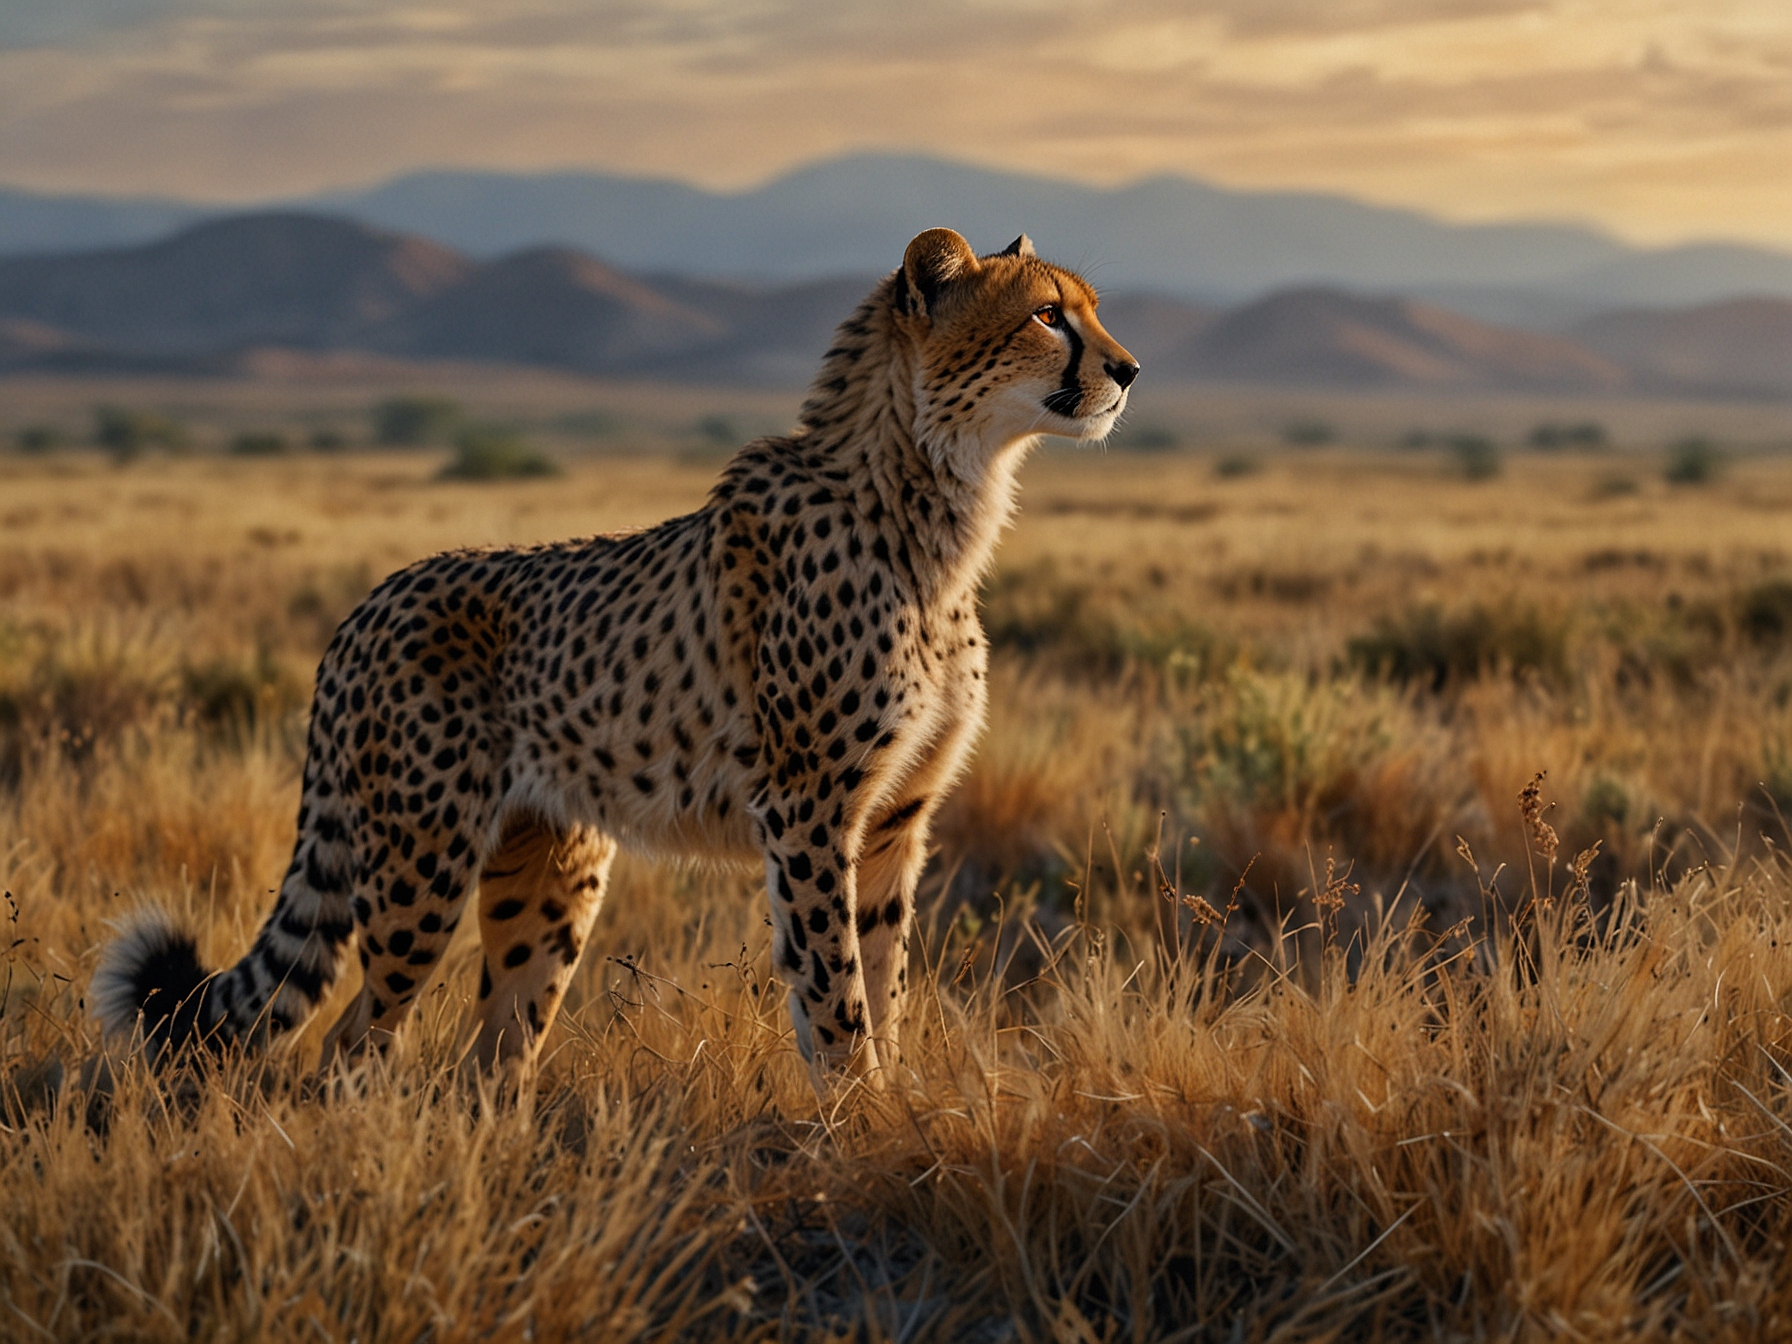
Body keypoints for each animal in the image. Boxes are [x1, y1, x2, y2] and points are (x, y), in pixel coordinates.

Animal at [93, 227, 1140, 1081]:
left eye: (1090, 307)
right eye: (1048, 315)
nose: (1129, 369)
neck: (933, 495)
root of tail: (372, 598)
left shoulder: (894, 817)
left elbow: (882, 986)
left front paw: (890, 1107)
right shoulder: (807, 809)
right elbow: (834, 993)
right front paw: (858, 1122)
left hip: (549, 872)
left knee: (494, 1054)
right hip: (420, 862)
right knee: (354, 1040)